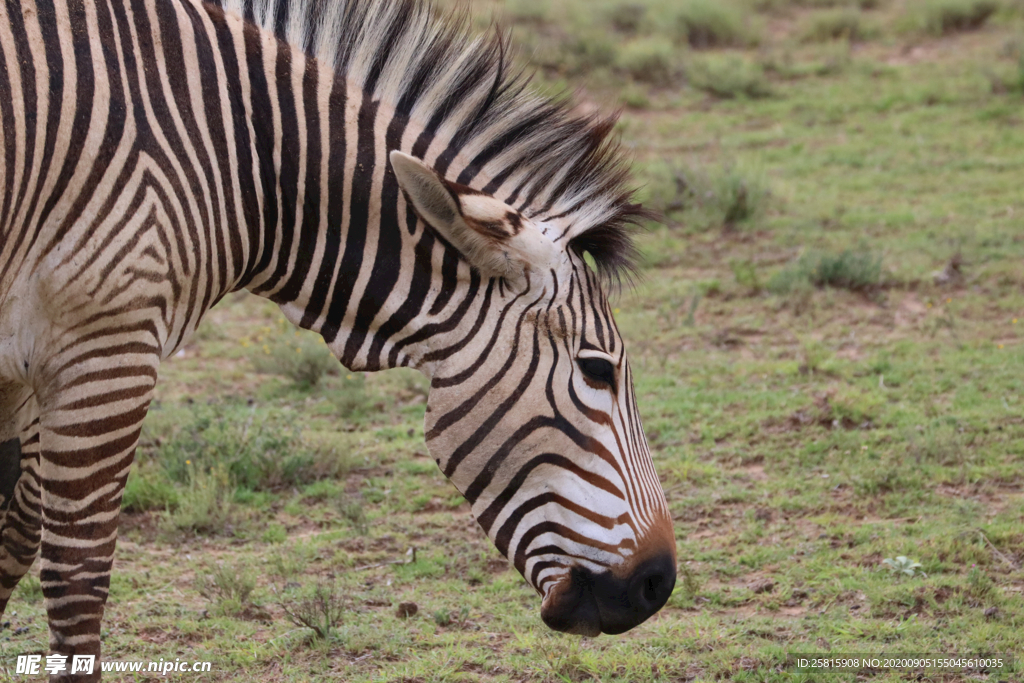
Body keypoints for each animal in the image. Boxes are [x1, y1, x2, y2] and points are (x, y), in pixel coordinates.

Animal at [0, 0, 675, 675]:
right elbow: (77, 575)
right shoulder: (107, 345)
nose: (658, 584)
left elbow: (12, 540)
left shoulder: (30, 369)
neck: (238, 159)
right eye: (596, 369)